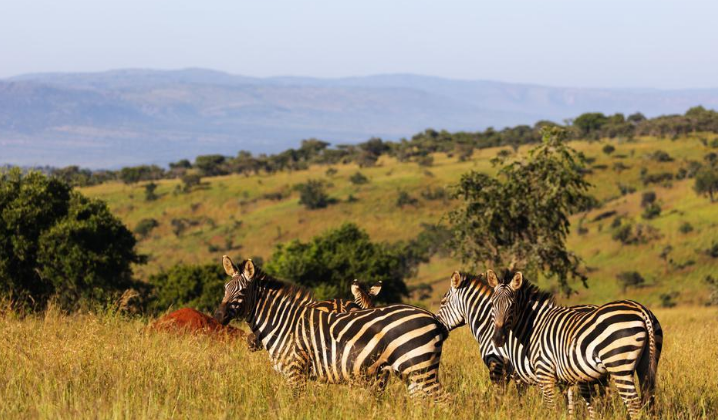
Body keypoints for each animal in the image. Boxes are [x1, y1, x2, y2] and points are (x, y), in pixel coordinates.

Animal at [214, 254, 450, 398]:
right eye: (225, 288)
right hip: (414, 369)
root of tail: (432, 317)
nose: (218, 315)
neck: (282, 323)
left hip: (418, 365)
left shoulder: (295, 370)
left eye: (242, 292)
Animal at [486, 270, 668, 420]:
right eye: (493, 305)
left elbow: (551, 407)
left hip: (619, 365)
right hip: (646, 364)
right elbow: (569, 406)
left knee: (634, 406)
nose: (498, 339)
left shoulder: (545, 373)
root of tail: (641, 310)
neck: (535, 325)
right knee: (649, 401)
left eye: (512, 305)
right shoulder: (564, 379)